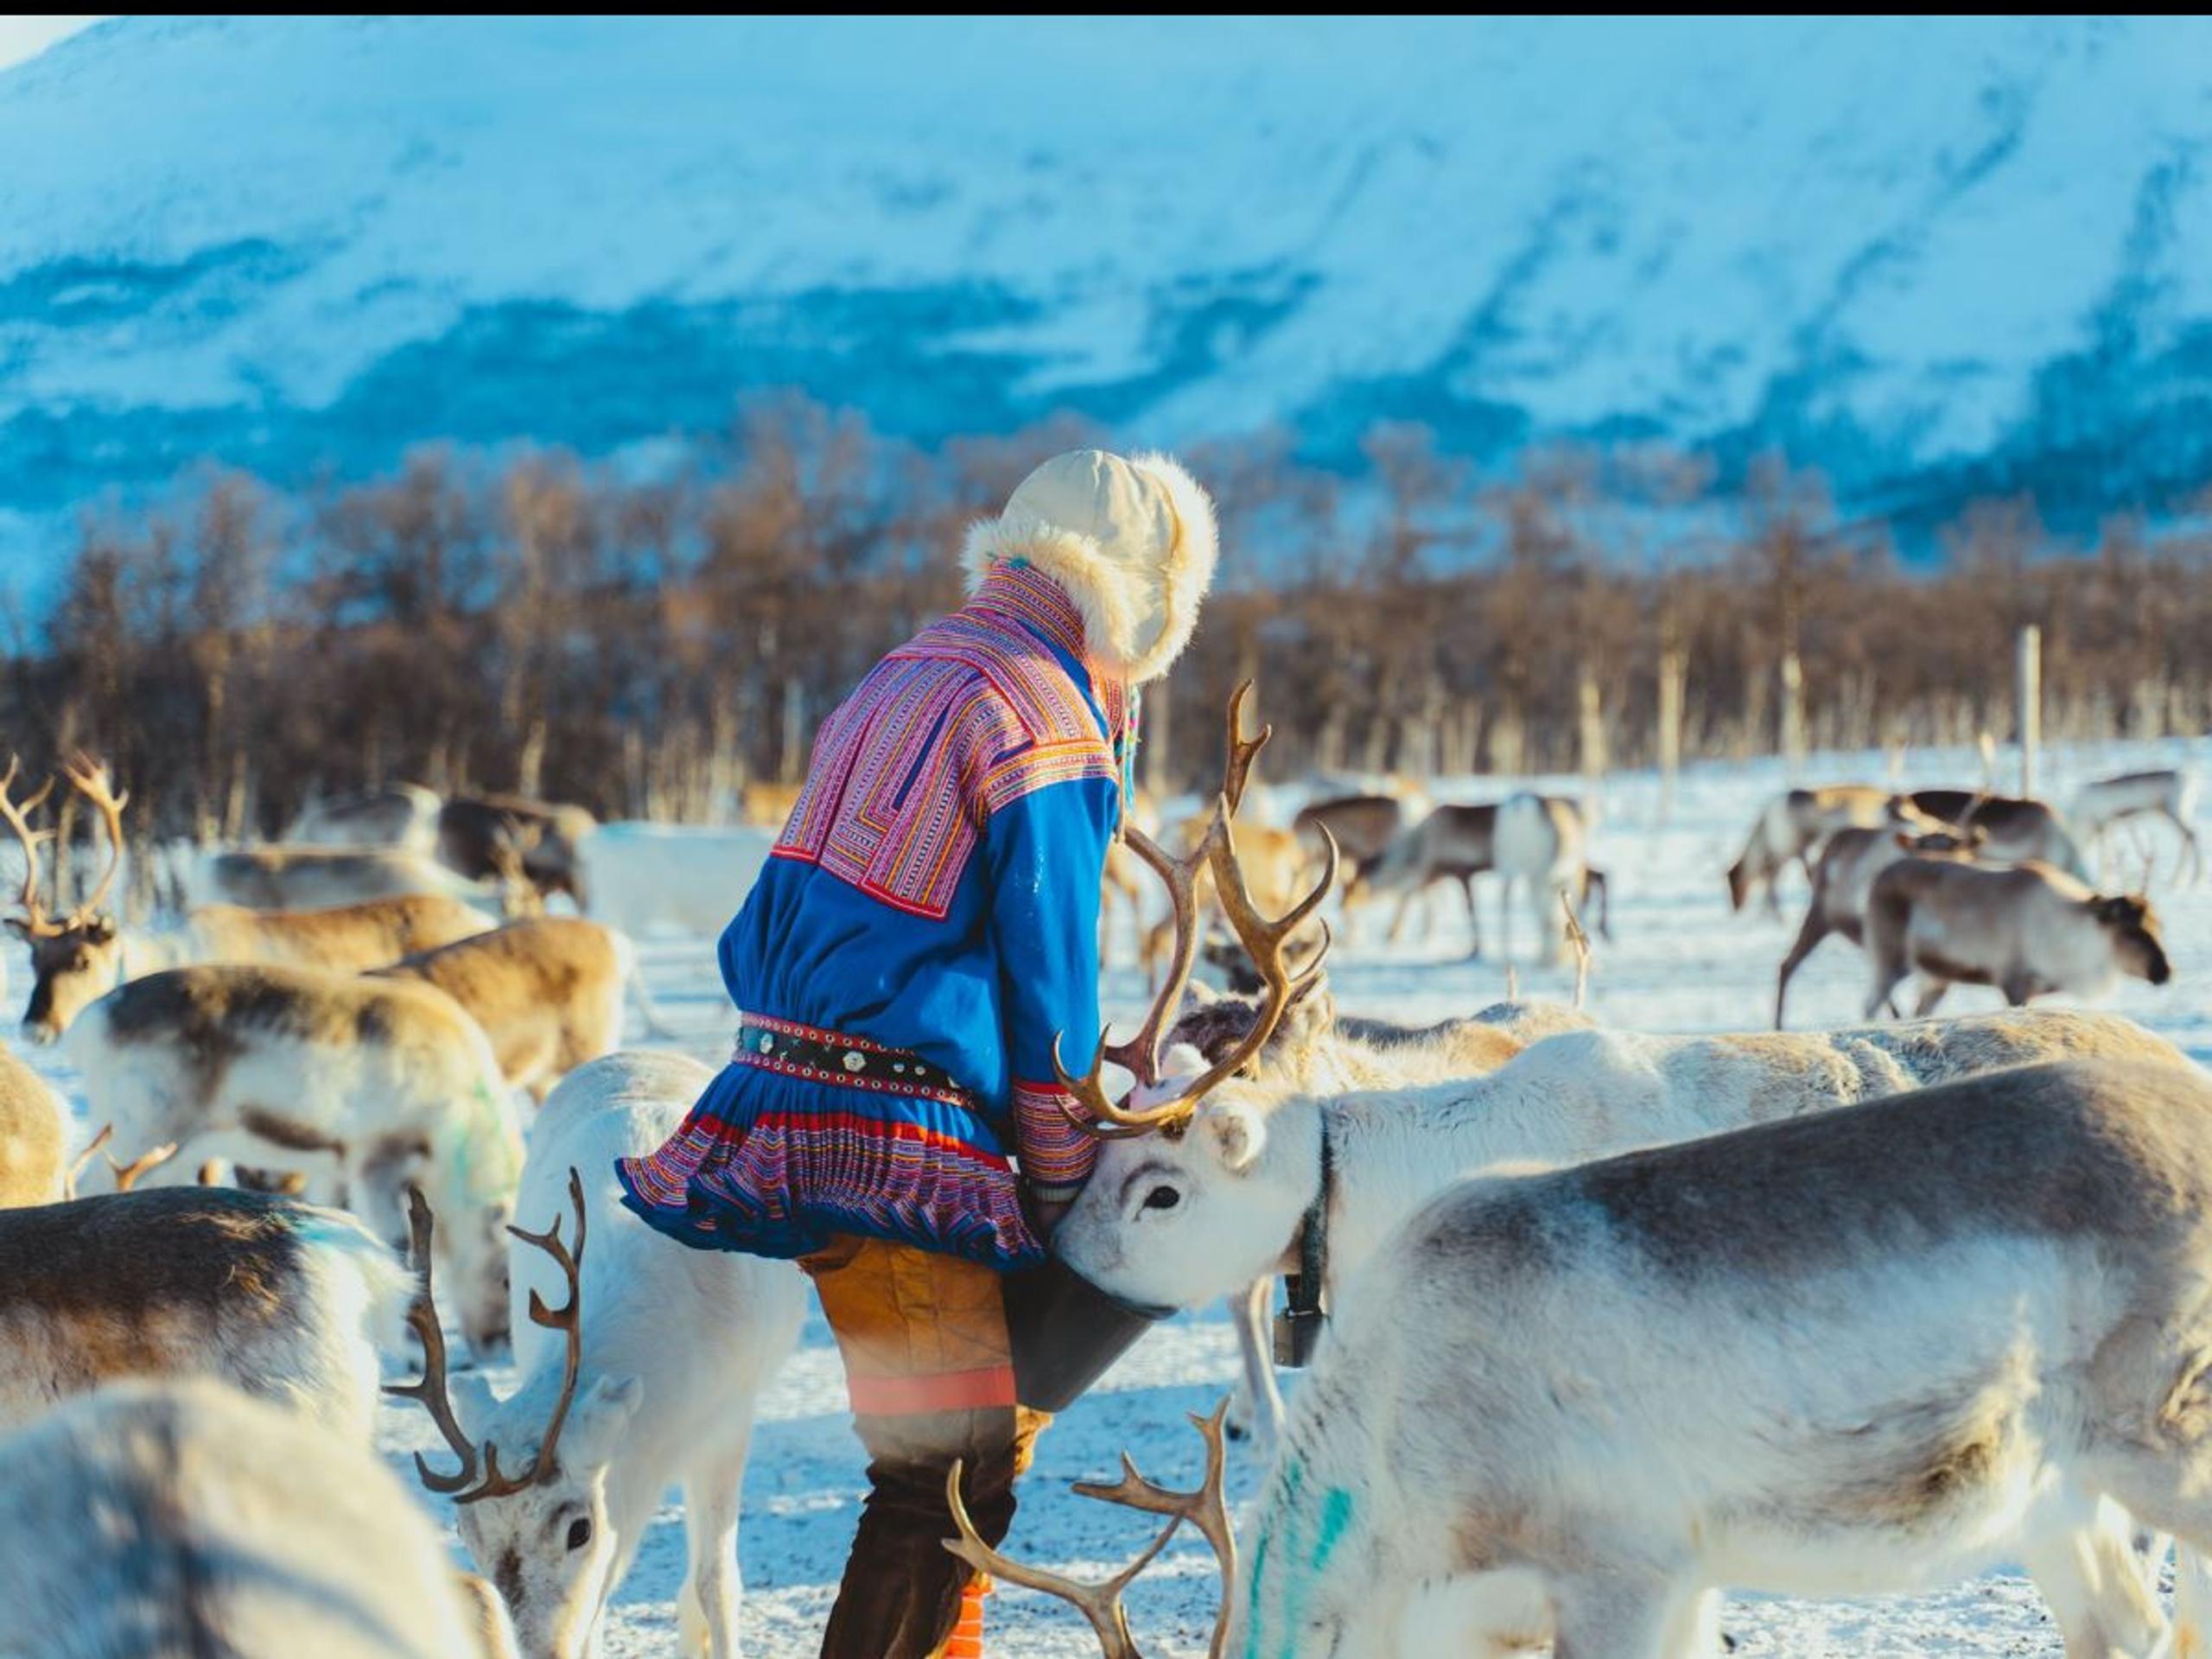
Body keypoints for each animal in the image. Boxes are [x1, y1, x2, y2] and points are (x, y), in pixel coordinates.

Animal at [59, 960, 523, 1358]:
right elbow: (395, 1246)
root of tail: (90, 1023)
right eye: (506, 1277)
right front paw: (407, 1351)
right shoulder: (375, 1159)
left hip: (170, 1150)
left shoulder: (334, 1168)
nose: (498, 1345)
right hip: (141, 1131)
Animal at [390, 1051, 806, 1659]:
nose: (539, 1652)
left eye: (578, 1529)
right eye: (465, 1531)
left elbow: (717, 1584)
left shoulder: (728, 1424)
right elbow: (599, 1613)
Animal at [1863, 857, 2172, 1019]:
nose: (2165, 971)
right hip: (1889, 960)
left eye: (2159, 926)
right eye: (2131, 930)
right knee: (1869, 1006)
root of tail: (1877, 877)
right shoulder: (2012, 981)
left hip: (1937, 979)